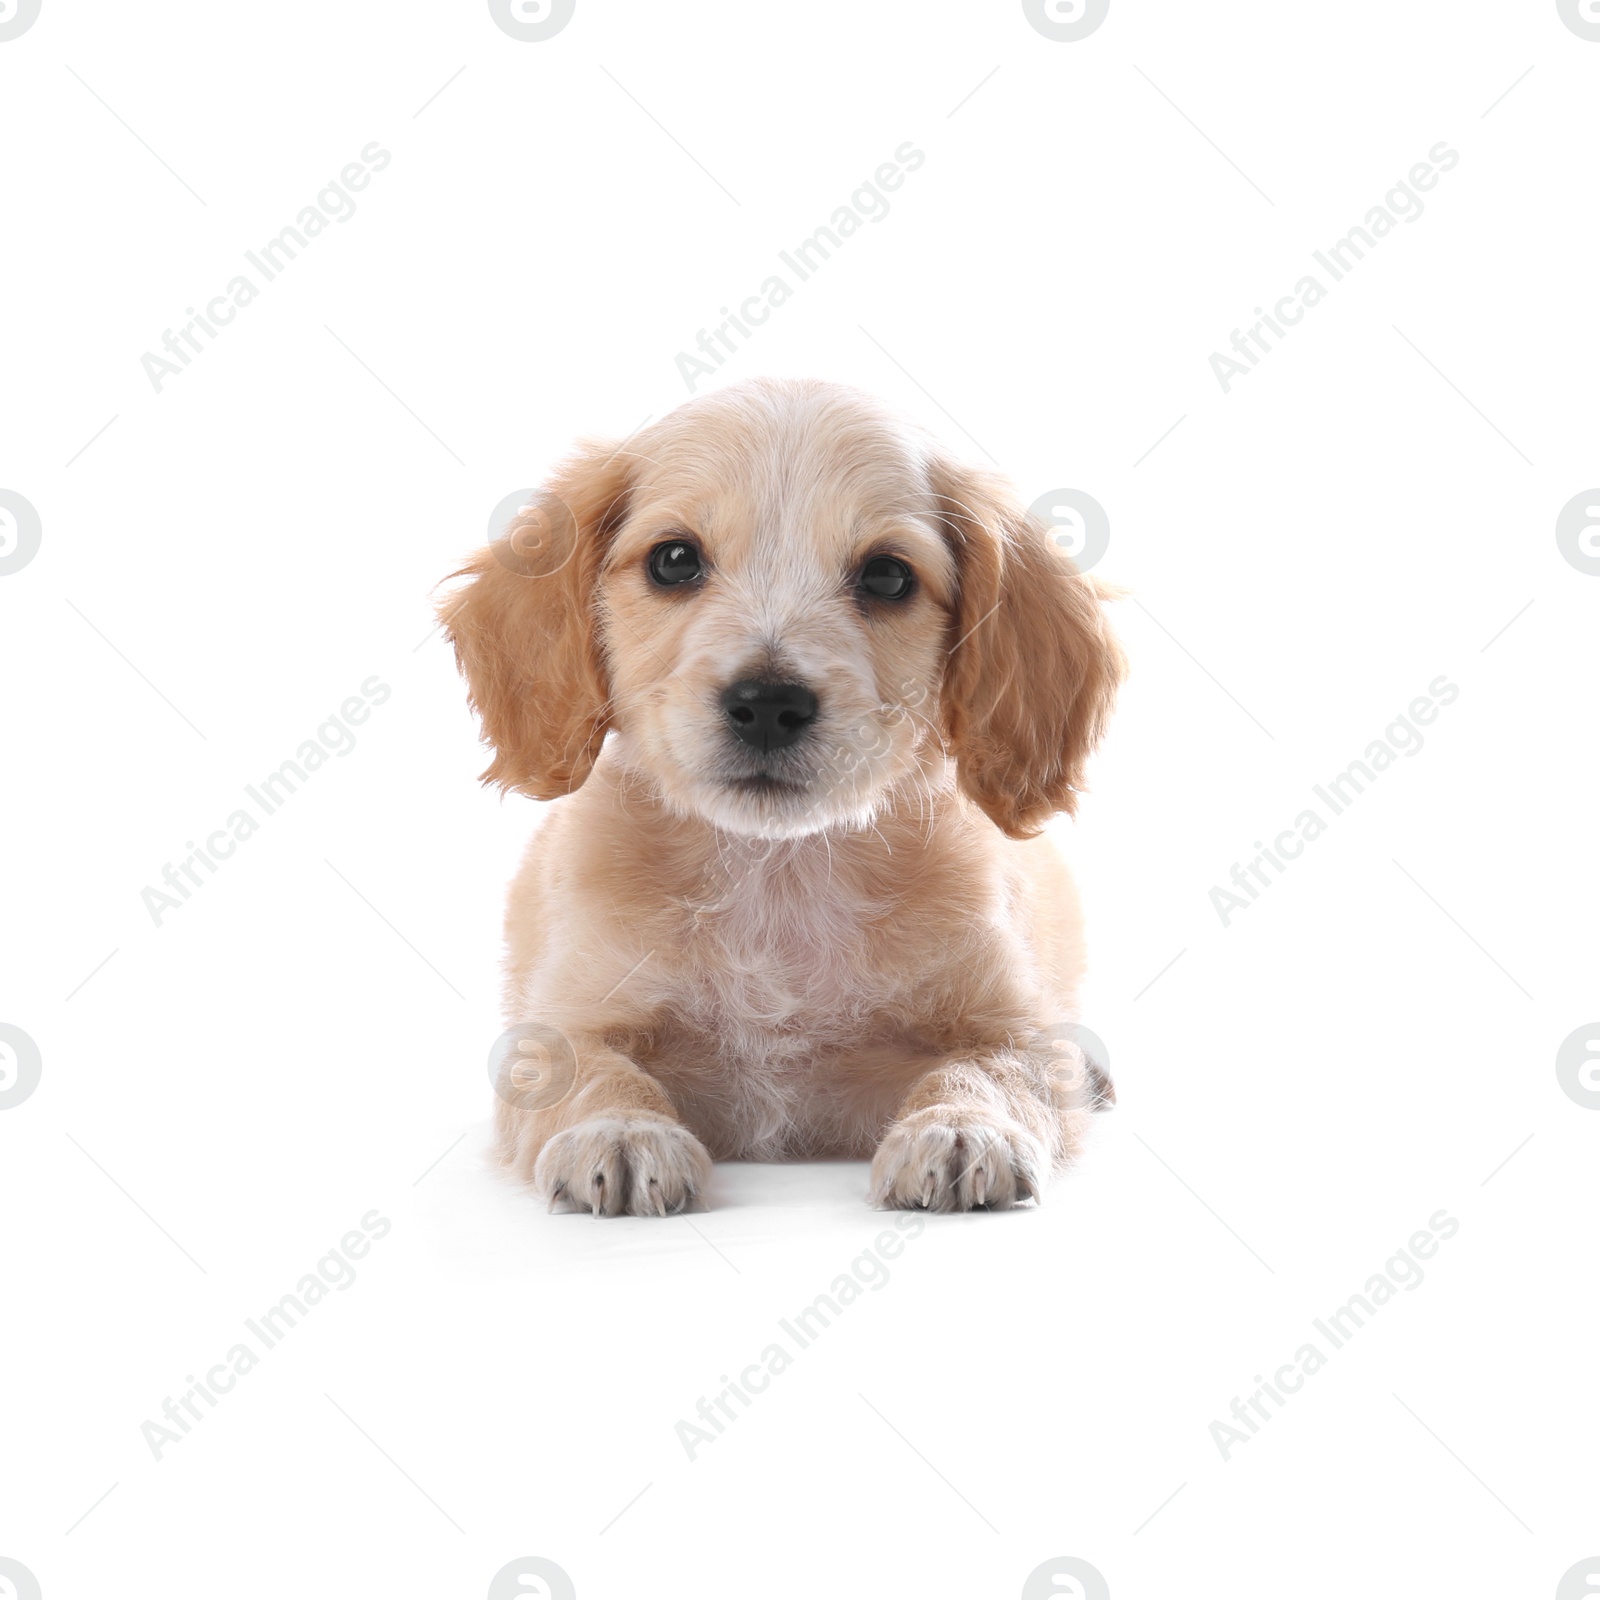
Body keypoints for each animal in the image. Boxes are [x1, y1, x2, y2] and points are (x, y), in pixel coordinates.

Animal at [441, 374, 1126, 1216]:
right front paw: (622, 1131)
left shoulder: (1011, 1025)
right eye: (673, 560)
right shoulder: (559, 1026)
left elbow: (987, 1069)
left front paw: (962, 1127)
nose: (767, 704)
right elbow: (594, 1073)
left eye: (889, 576)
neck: (778, 873)